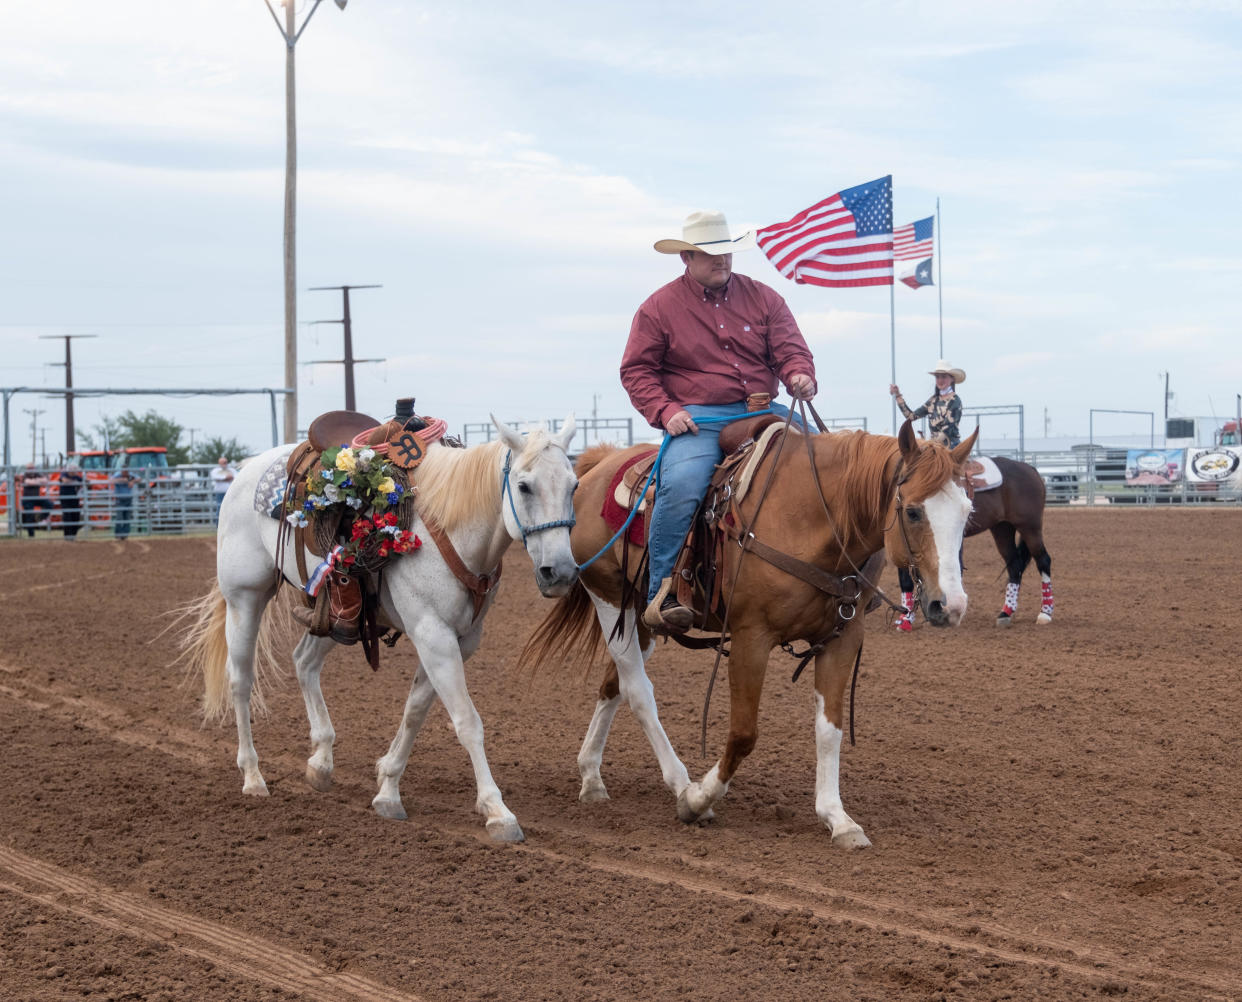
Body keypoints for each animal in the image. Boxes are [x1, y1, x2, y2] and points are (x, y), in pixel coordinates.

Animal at [180, 412, 576, 844]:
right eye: (524, 486)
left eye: (574, 485)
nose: (560, 572)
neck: (450, 527)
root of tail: (245, 471)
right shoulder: (433, 635)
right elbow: (467, 721)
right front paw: (497, 811)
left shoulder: (459, 639)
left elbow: (415, 711)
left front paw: (387, 786)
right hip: (245, 598)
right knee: (241, 680)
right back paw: (252, 776)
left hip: (338, 618)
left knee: (304, 662)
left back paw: (321, 761)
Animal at [519, 419, 973, 849]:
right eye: (912, 511)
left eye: (968, 512)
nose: (949, 606)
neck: (813, 515)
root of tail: (597, 467)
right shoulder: (751, 637)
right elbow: (743, 733)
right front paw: (698, 799)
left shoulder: (843, 637)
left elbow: (829, 730)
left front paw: (838, 818)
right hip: (609, 596)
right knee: (637, 690)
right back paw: (679, 782)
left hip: (640, 614)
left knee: (613, 683)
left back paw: (591, 777)